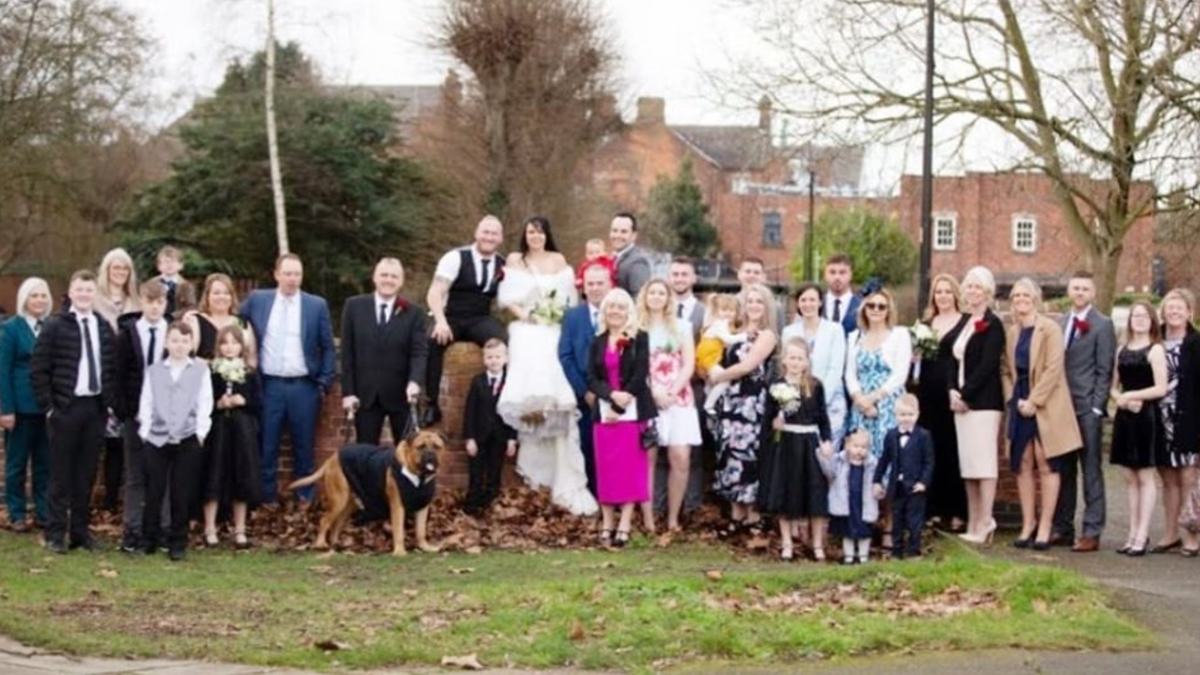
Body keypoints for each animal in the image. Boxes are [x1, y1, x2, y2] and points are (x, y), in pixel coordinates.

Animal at [286, 427, 446, 554]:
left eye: (437, 447)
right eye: (421, 447)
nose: (431, 455)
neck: (419, 476)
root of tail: (332, 459)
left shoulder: (423, 506)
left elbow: (421, 530)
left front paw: (425, 547)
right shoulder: (397, 506)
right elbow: (399, 529)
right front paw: (400, 551)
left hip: (349, 503)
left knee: (337, 524)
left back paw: (336, 544)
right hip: (339, 499)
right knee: (324, 521)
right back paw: (320, 544)